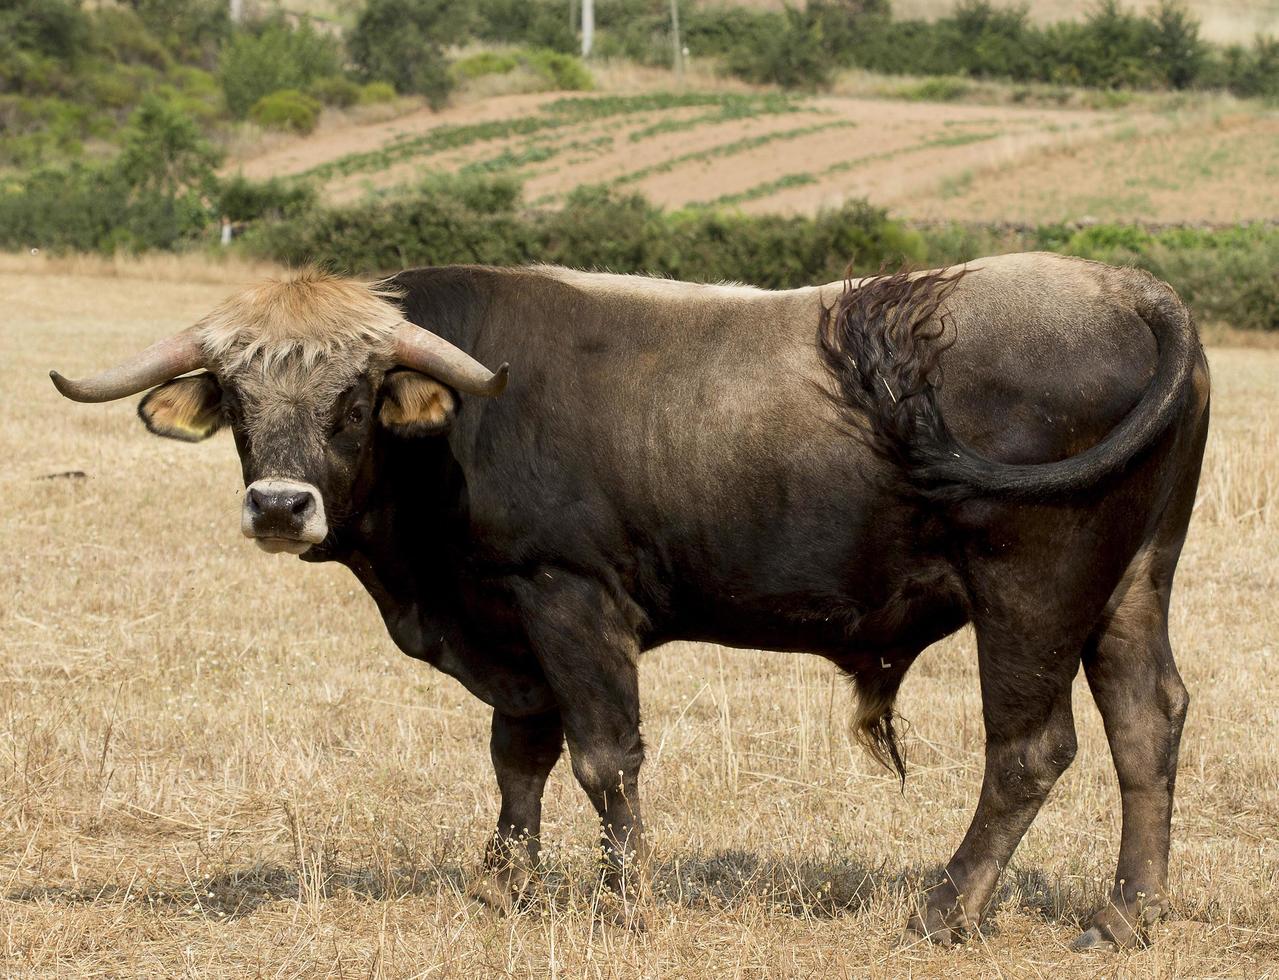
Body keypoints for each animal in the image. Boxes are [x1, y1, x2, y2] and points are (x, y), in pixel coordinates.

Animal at [49, 255, 1207, 951]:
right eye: (240, 399)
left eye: (351, 397)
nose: (281, 505)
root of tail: (1130, 293)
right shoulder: (507, 626)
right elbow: (518, 755)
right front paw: (502, 882)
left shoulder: (570, 602)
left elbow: (604, 757)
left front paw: (626, 897)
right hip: (1130, 585)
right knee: (1145, 722)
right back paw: (1128, 913)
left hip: (1030, 590)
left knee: (1030, 748)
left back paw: (945, 903)